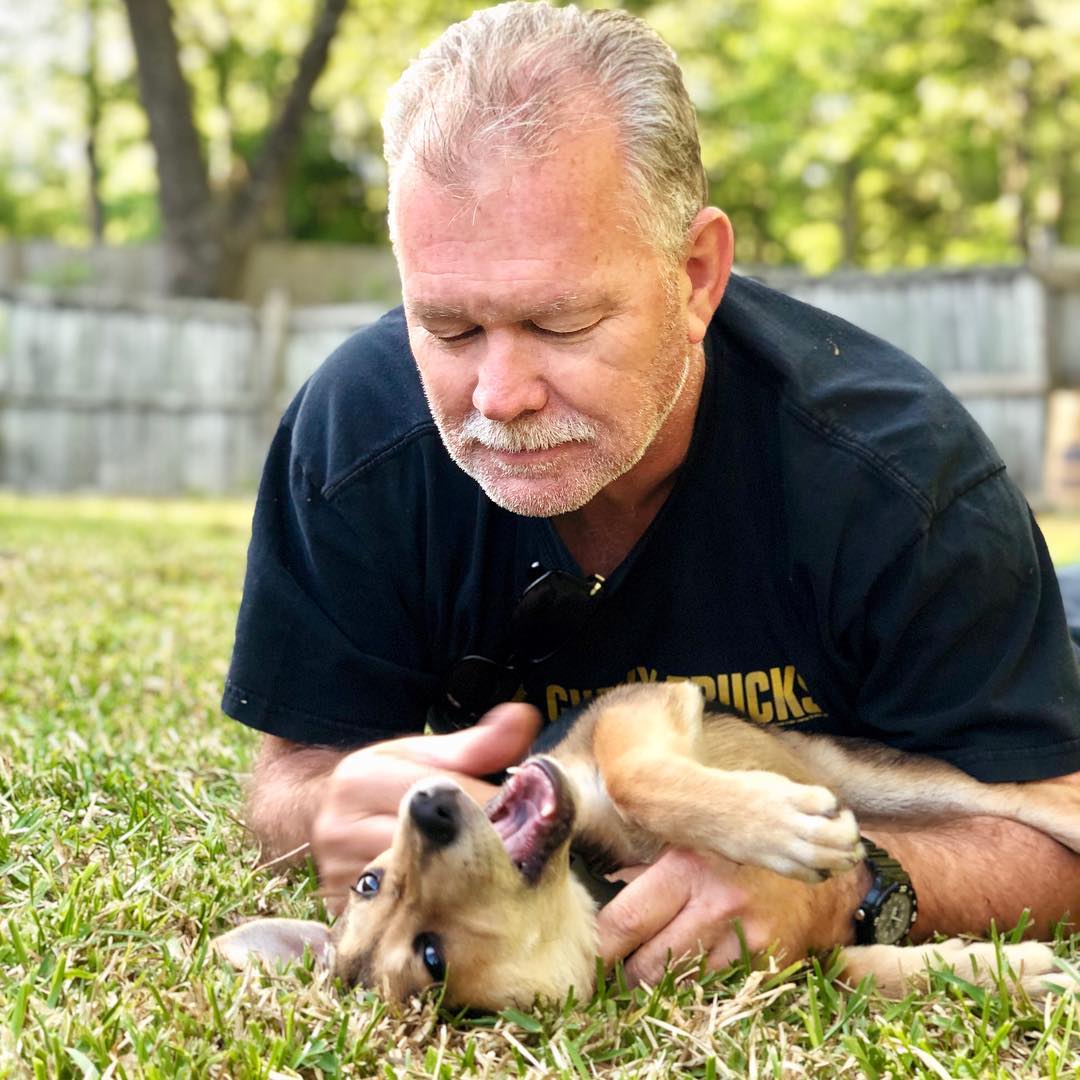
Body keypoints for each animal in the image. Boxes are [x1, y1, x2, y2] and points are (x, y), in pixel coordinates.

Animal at [212, 682, 1080, 1002]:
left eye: (368, 879)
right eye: (432, 958)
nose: (428, 806)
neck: (596, 879)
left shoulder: (636, 707)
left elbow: (634, 774)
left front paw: (777, 827)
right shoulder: (785, 961)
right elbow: (852, 969)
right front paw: (1002, 970)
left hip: (882, 773)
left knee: (1047, 796)